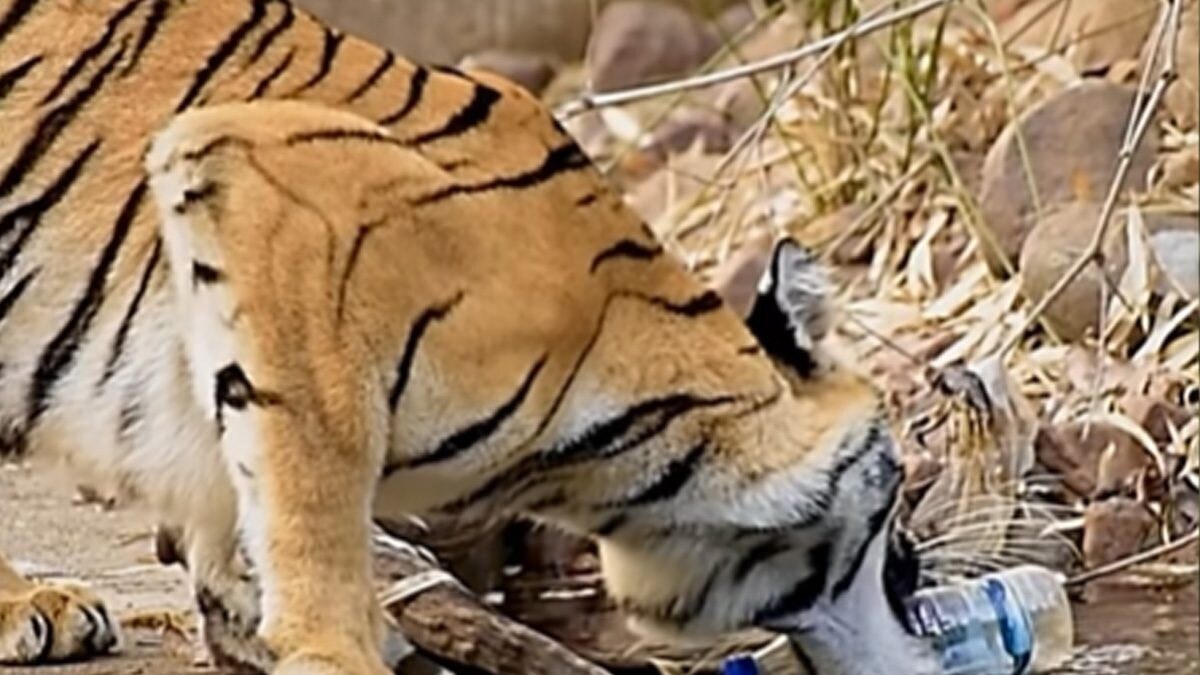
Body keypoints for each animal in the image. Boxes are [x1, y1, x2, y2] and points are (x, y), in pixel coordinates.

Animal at [0, 1, 936, 672]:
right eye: (894, 527)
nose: (923, 579)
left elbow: (241, 492)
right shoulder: (265, 190)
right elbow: (312, 490)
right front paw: (331, 652)